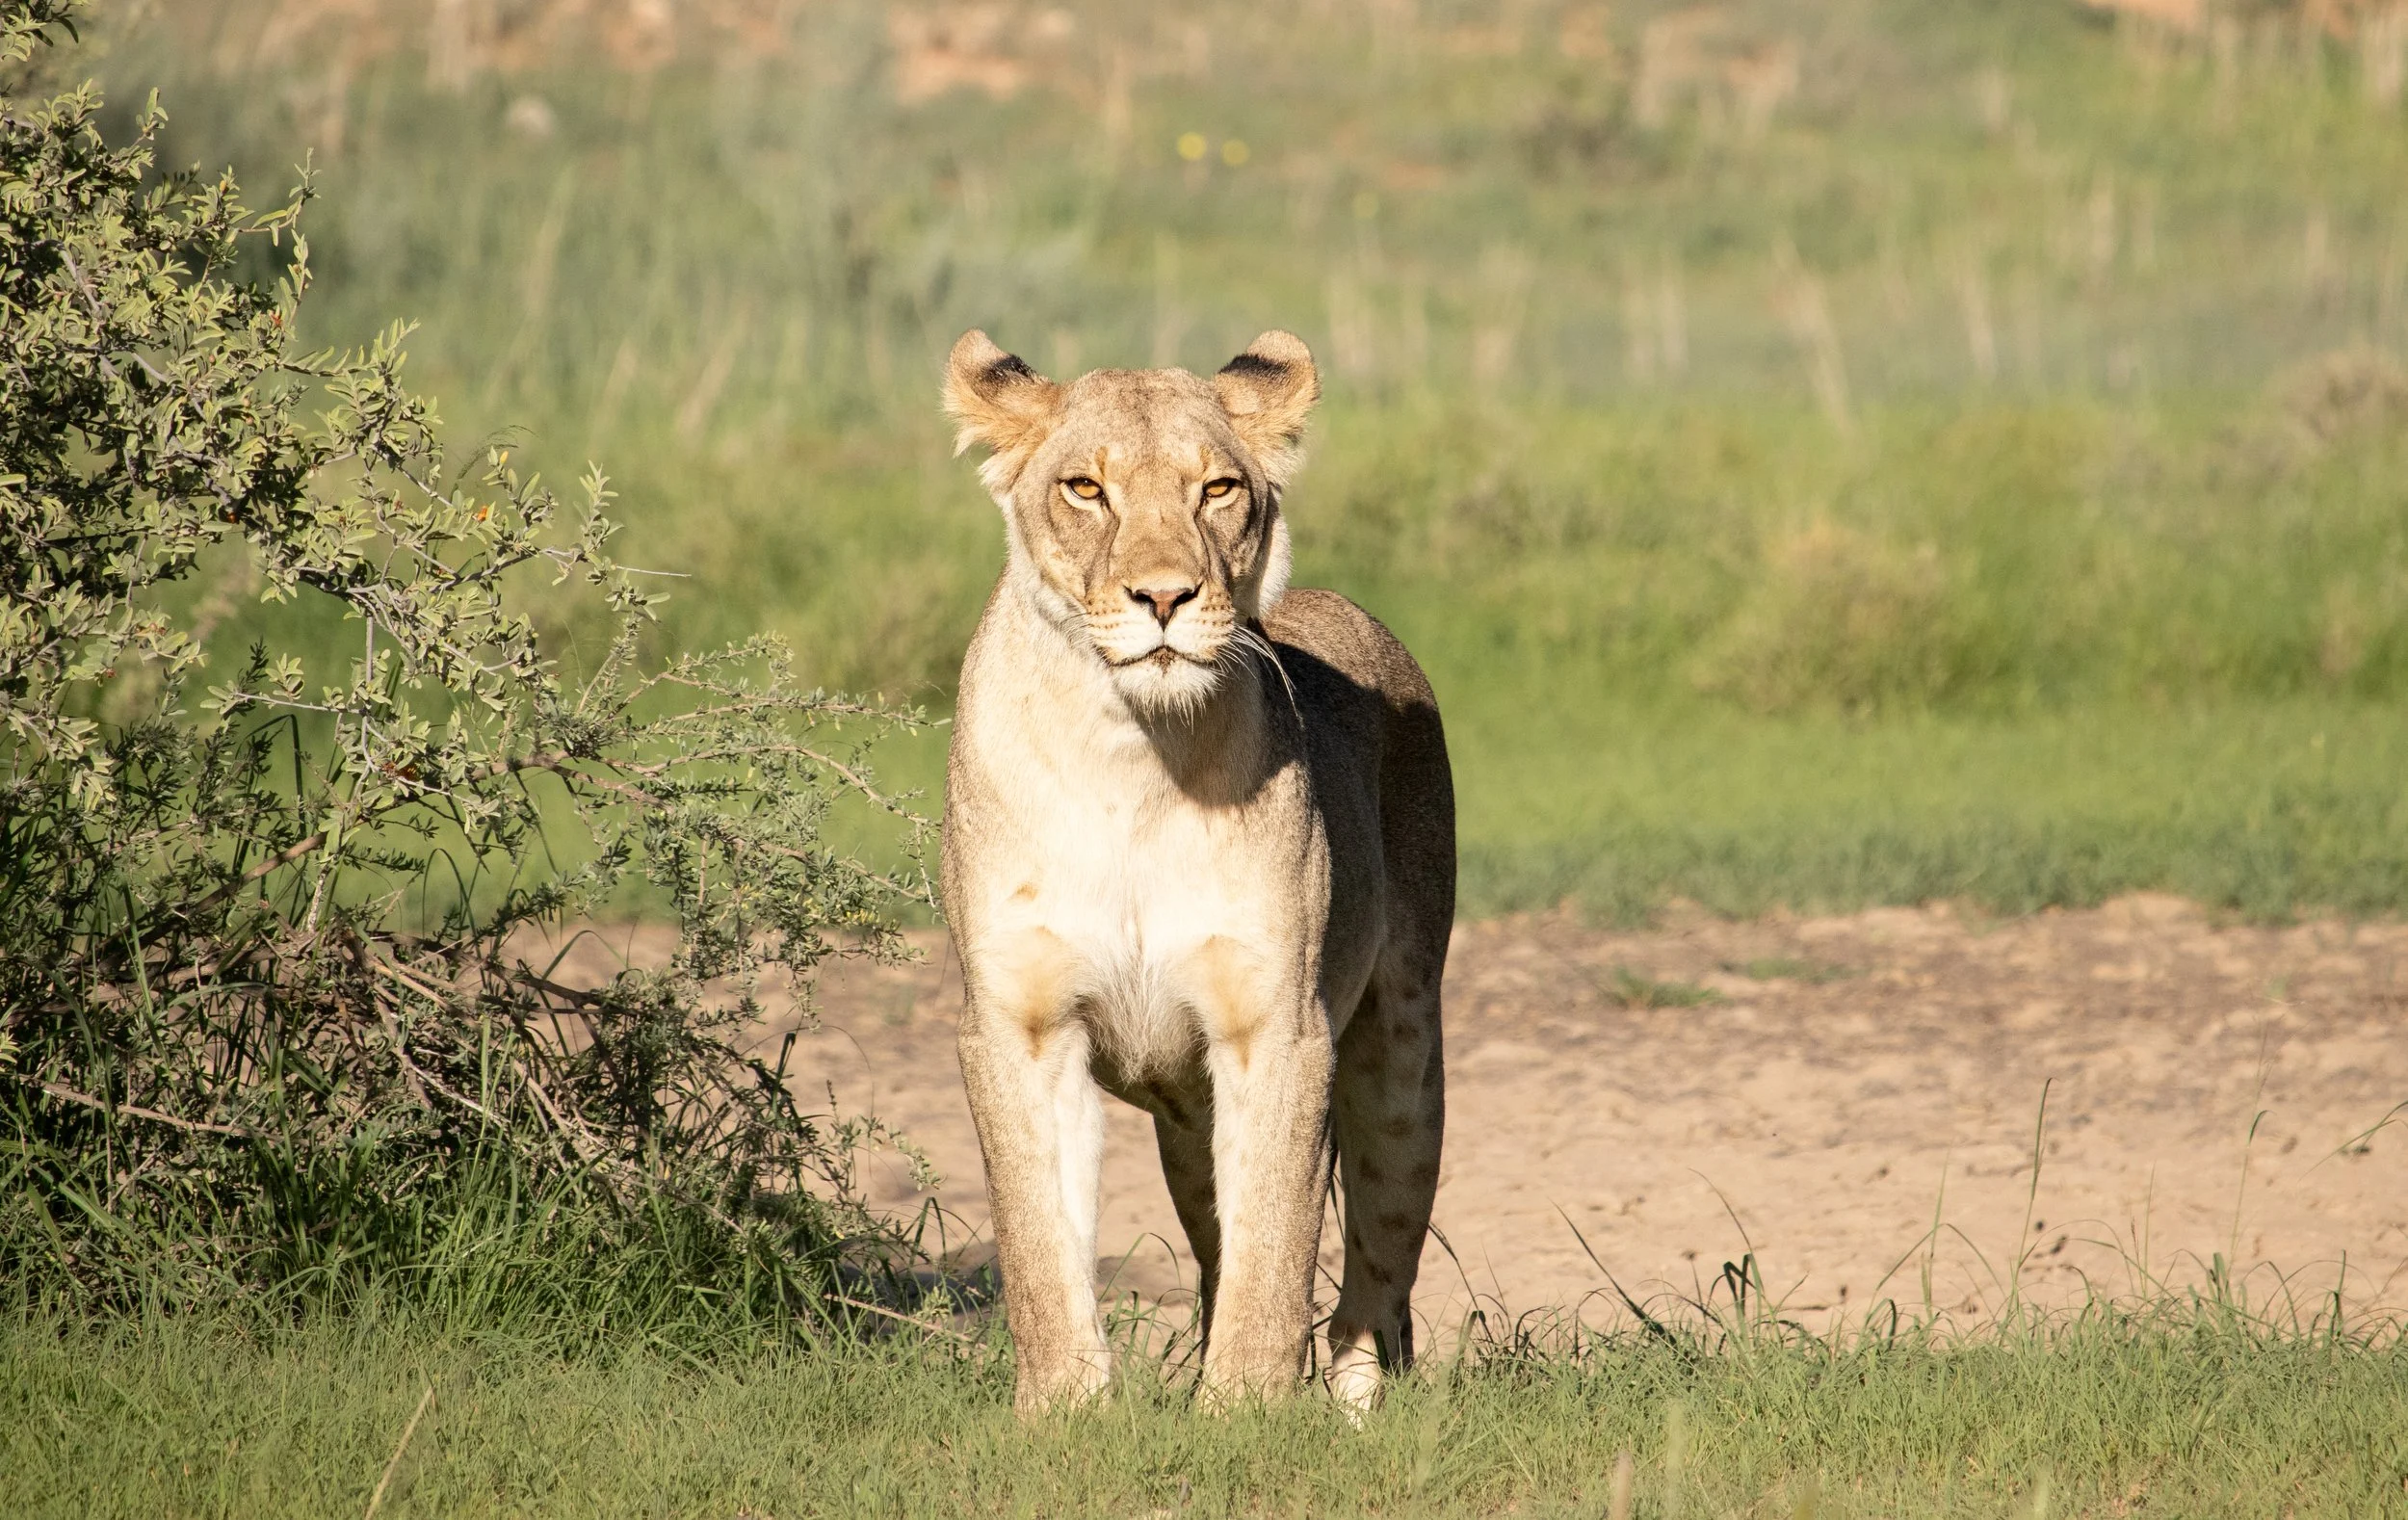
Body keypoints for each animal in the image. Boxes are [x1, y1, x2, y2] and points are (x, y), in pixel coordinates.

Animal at [938, 328, 1455, 1412]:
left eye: (1217, 488)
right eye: (1085, 488)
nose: (1165, 596)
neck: (1133, 756)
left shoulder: (1277, 1026)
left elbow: (1275, 1250)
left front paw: (1246, 1413)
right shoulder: (1020, 1025)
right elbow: (1039, 1241)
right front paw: (1064, 1412)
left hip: (1402, 1055)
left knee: (1373, 1282)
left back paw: (1355, 1405)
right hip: (1185, 1121)